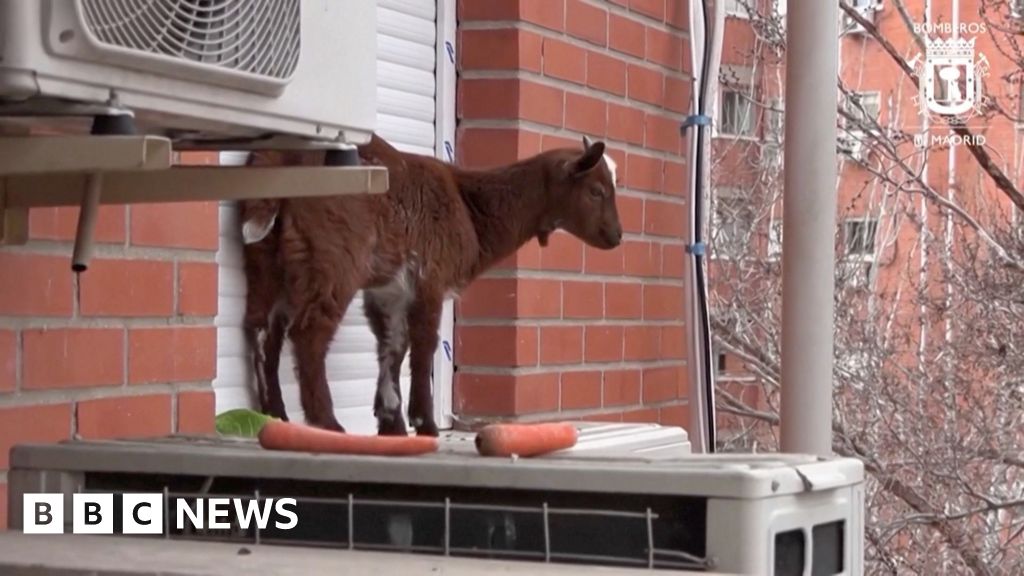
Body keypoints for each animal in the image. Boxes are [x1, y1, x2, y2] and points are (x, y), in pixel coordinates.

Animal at [242, 133, 618, 434]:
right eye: (596, 191)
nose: (616, 236)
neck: (470, 205)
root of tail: (282, 160)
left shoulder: (390, 290)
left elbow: (393, 346)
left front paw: (392, 423)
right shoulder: (429, 277)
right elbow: (424, 346)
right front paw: (424, 424)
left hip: (267, 256)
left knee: (261, 328)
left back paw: (273, 415)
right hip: (335, 253)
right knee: (309, 332)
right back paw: (327, 422)